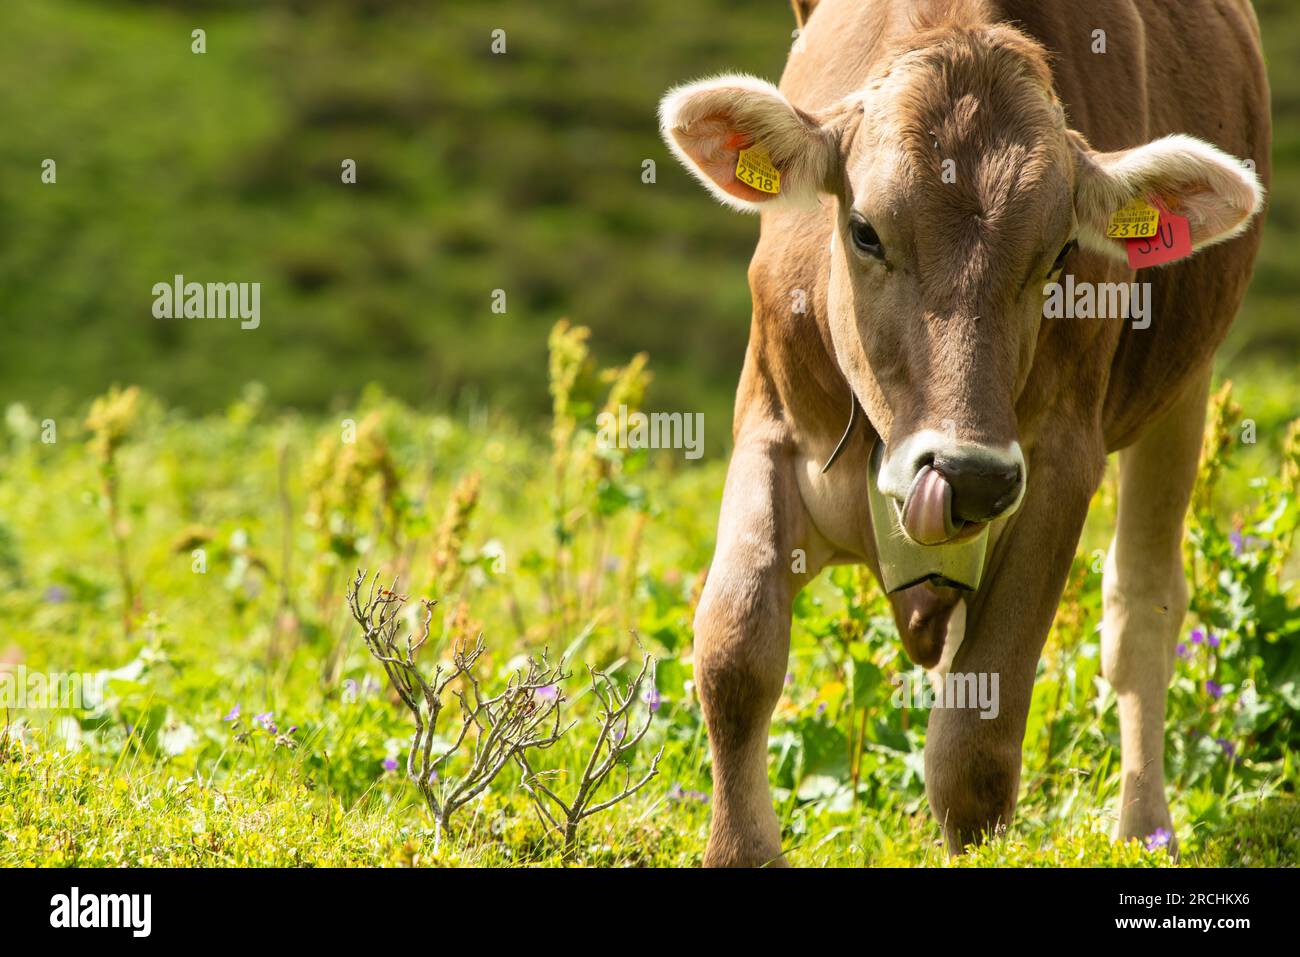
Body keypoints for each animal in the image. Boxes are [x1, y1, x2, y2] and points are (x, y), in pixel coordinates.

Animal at [655, 0, 1263, 868]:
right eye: (865, 230)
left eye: (1061, 252)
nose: (967, 472)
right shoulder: (770, 425)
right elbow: (735, 652)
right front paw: (742, 847)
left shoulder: (1057, 465)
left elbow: (975, 743)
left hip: (1185, 382)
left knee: (1141, 605)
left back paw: (1145, 827)